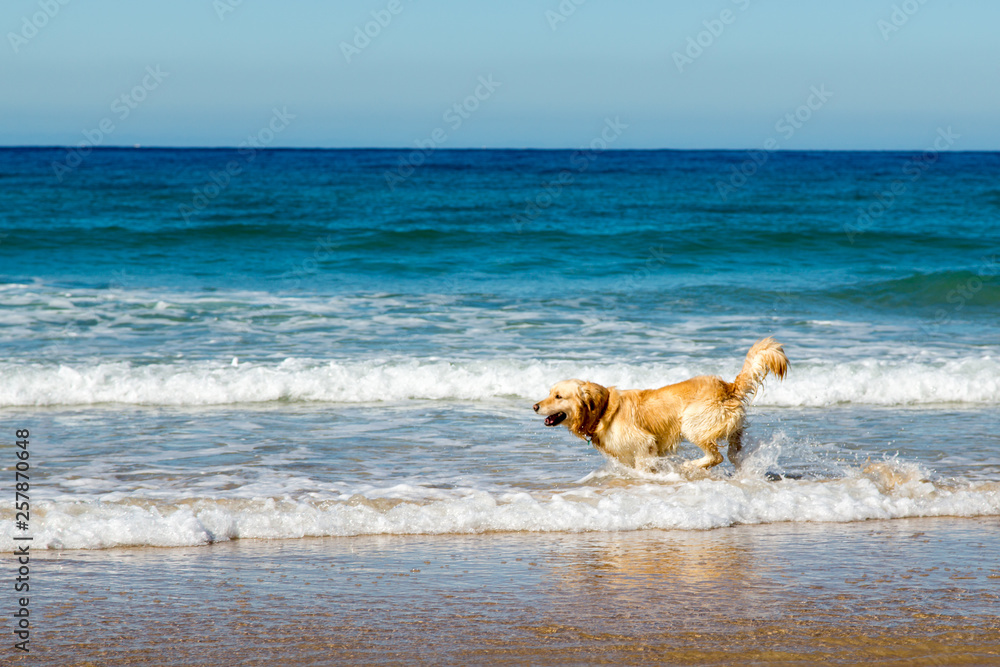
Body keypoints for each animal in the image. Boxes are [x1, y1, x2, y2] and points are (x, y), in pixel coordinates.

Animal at [536, 340, 784, 470]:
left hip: (691, 423)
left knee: (716, 456)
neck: (603, 410)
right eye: (549, 393)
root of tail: (728, 386)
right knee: (734, 452)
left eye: (558, 396)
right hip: (731, 426)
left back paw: (689, 466)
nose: (535, 406)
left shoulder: (644, 444)